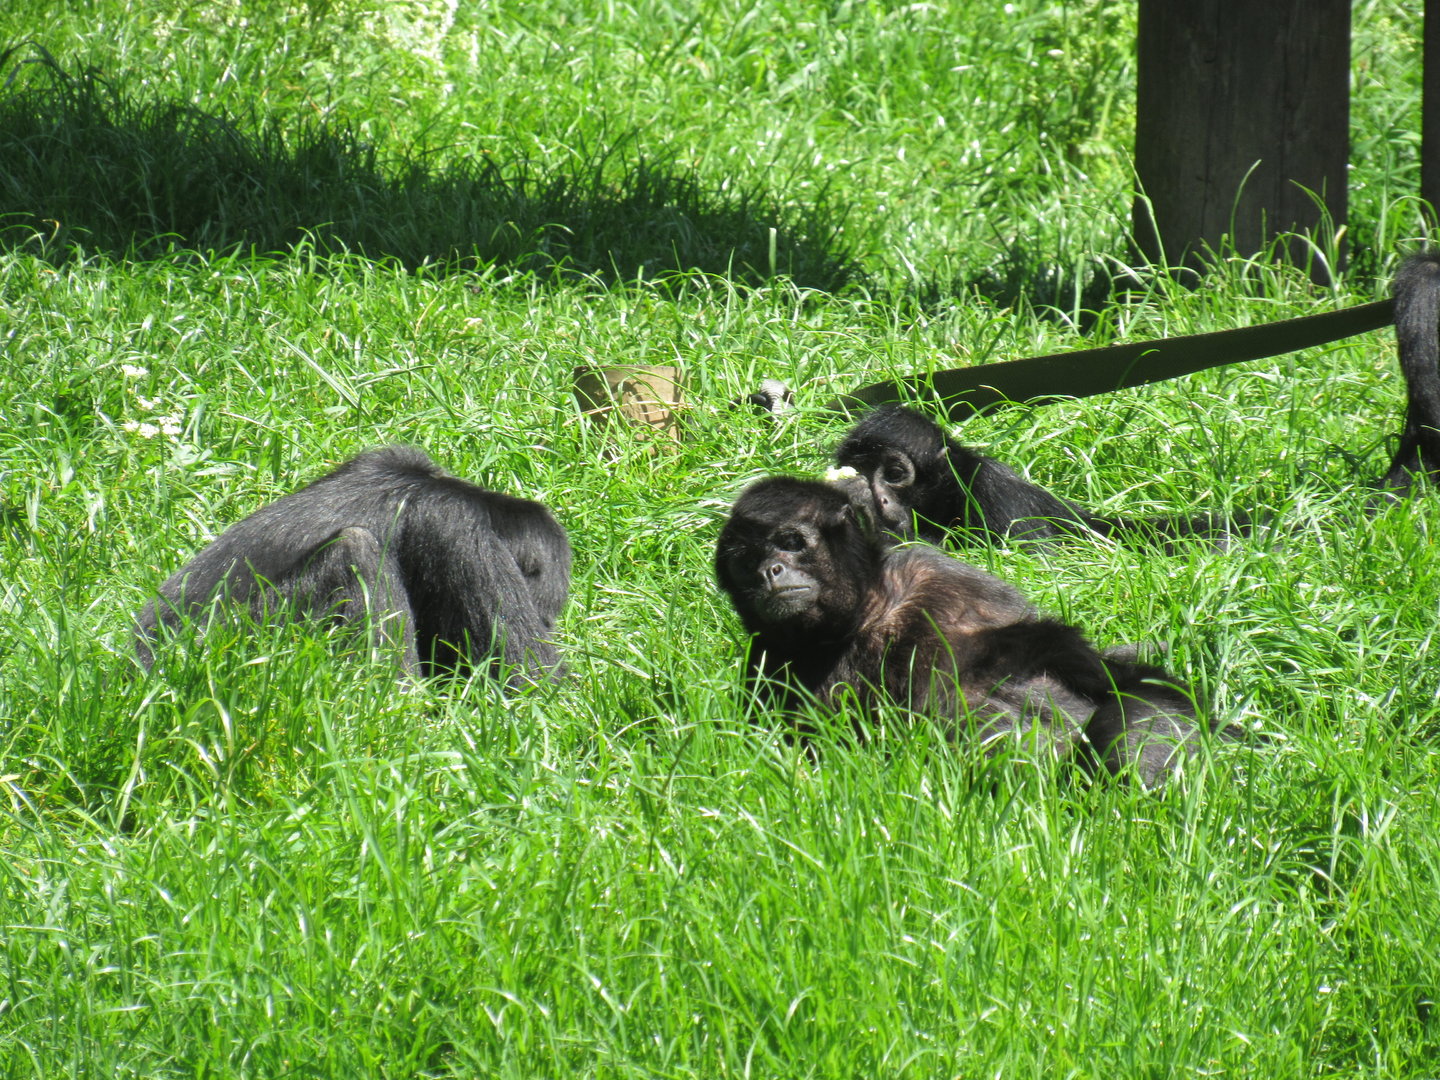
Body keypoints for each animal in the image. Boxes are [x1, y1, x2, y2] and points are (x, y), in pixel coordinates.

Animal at [715, 476, 1220, 787]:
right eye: (746, 560)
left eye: (791, 542)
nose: (769, 570)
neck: (869, 617)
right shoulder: (767, 667)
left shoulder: (938, 573)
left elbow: (1082, 659)